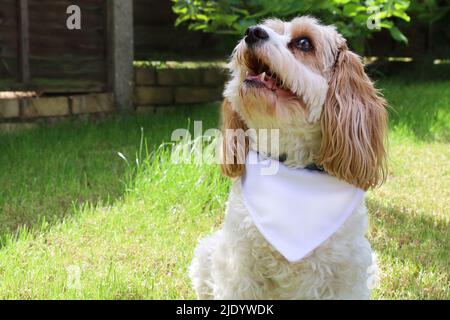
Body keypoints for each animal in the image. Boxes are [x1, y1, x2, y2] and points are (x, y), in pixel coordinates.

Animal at [188, 16, 388, 298]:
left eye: (304, 43)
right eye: (266, 28)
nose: (252, 32)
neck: (289, 166)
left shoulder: (348, 272)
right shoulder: (239, 267)